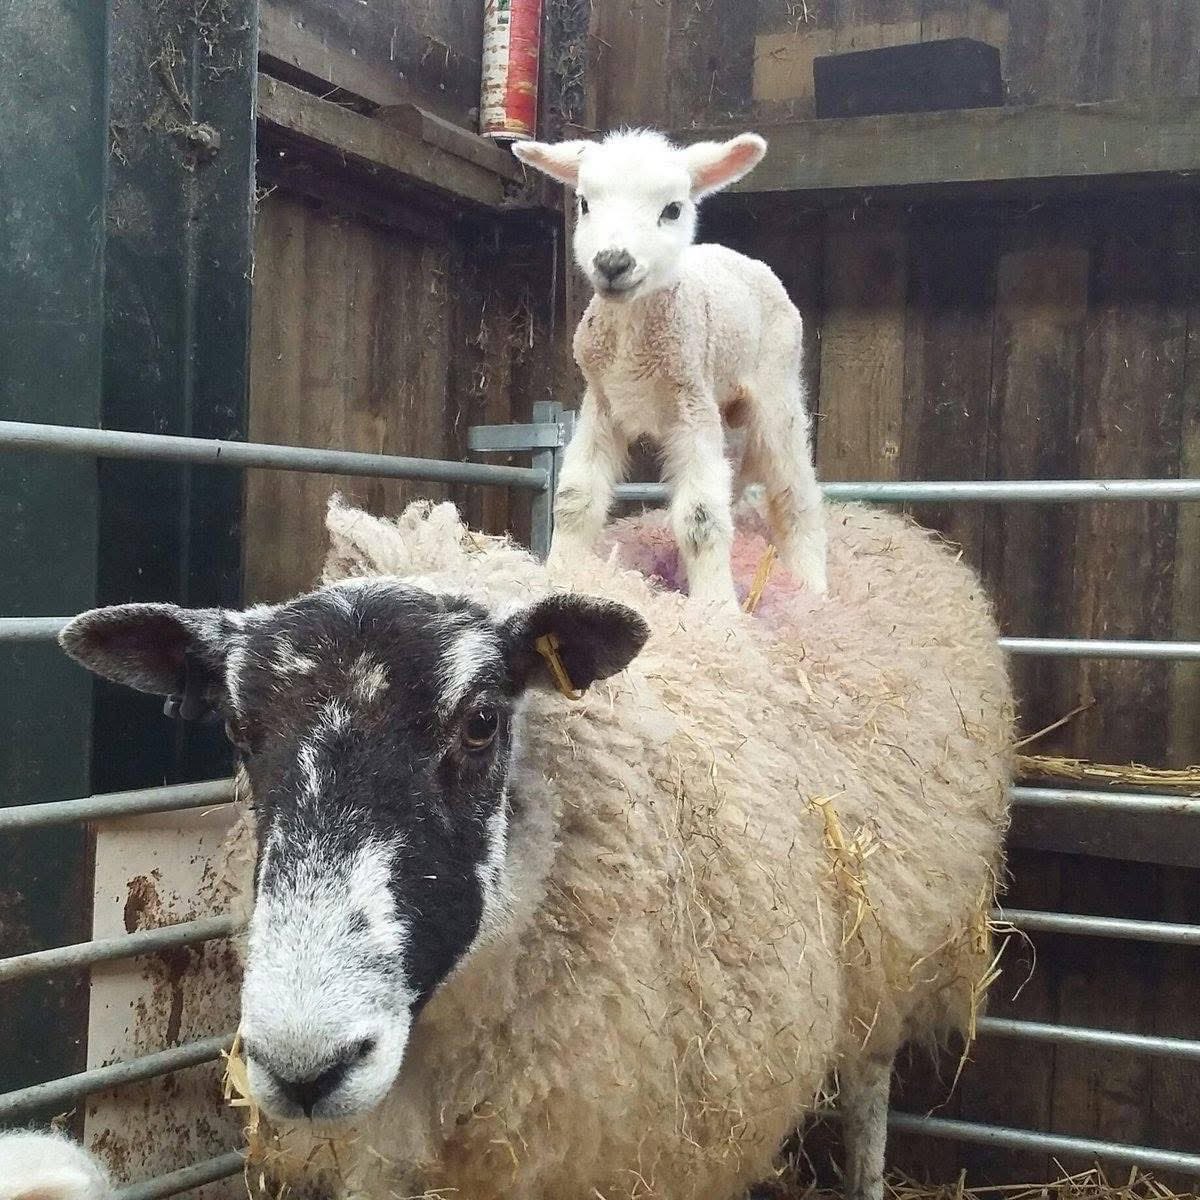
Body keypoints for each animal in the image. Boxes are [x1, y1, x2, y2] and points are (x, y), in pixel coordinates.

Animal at [512, 129, 827, 608]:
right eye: (584, 203)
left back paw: (813, 588)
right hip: (726, 413)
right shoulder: (602, 403)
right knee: (735, 485)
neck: (632, 341)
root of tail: (746, 259)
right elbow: (575, 500)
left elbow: (701, 517)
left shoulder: (690, 404)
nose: (613, 262)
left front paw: (717, 611)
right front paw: (558, 574)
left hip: (776, 386)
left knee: (794, 491)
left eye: (673, 209)